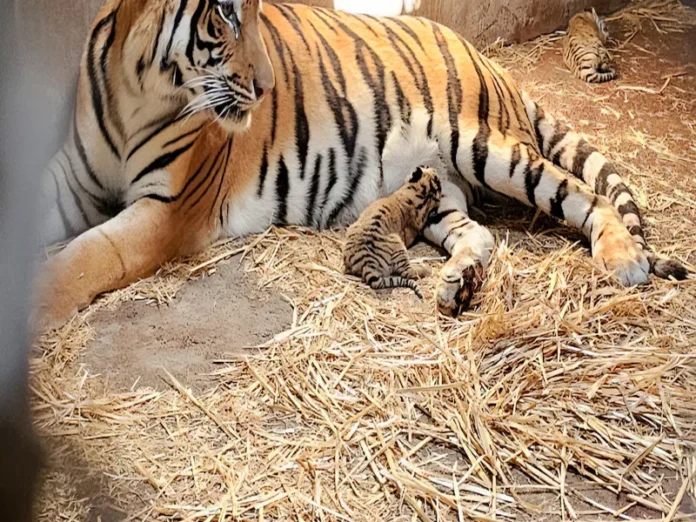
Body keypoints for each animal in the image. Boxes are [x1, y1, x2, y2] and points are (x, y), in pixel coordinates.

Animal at [343, 166, 441, 299]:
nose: (430, 166)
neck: (421, 197)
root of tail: (368, 263)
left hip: (397, 244)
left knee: (407, 272)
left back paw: (427, 269)